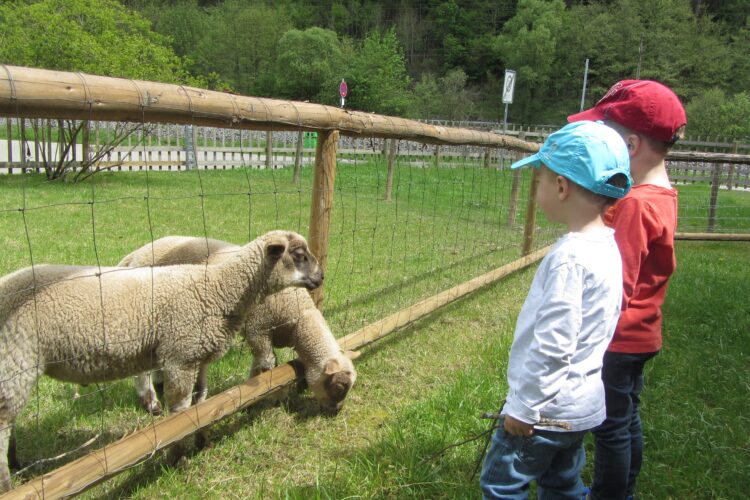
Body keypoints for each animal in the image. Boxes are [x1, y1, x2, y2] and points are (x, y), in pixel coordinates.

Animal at [0, 231, 320, 496]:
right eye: (299, 255)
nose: (322, 277)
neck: (219, 288)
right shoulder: (180, 356)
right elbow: (180, 412)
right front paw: (177, 457)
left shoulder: (198, 355)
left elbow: (201, 402)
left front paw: (202, 441)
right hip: (15, 360)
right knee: (3, 426)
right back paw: (7, 483)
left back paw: (17, 463)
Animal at [119, 236, 358, 416]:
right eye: (339, 386)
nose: (335, 412)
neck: (296, 315)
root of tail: (135, 255)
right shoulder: (258, 330)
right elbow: (267, 365)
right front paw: (270, 396)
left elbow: (258, 366)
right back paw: (152, 403)